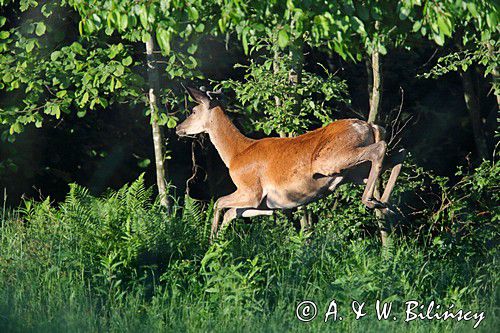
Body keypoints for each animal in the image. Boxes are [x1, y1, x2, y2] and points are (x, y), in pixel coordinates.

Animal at [177, 84, 406, 237]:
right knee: (397, 155)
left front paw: (210, 241)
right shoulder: (266, 205)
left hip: (331, 159)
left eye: (194, 111)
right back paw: (386, 204)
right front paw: (218, 245)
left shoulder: (252, 190)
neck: (236, 154)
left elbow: (218, 203)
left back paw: (371, 201)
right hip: (354, 171)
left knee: (381, 149)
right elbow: (231, 213)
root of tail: (370, 126)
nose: (178, 127)